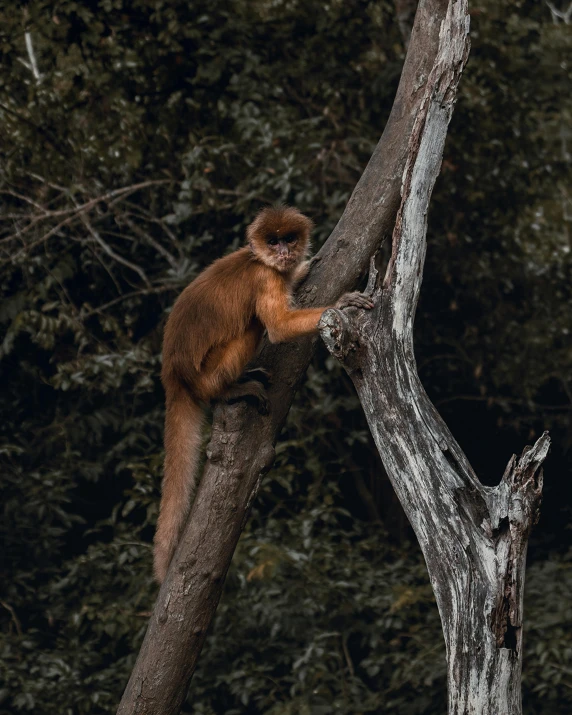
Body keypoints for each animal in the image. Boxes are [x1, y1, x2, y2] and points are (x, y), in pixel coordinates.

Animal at [154, 204, 374, 584]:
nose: (284, 252)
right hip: (208, 375)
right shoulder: (264, 278)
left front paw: (303, 268)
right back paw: (231, 390)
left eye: (288, 239)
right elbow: (279, 327)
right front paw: (342, 301)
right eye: (273, 241)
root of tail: (174, 375)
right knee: (253, 325)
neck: (261, 261)